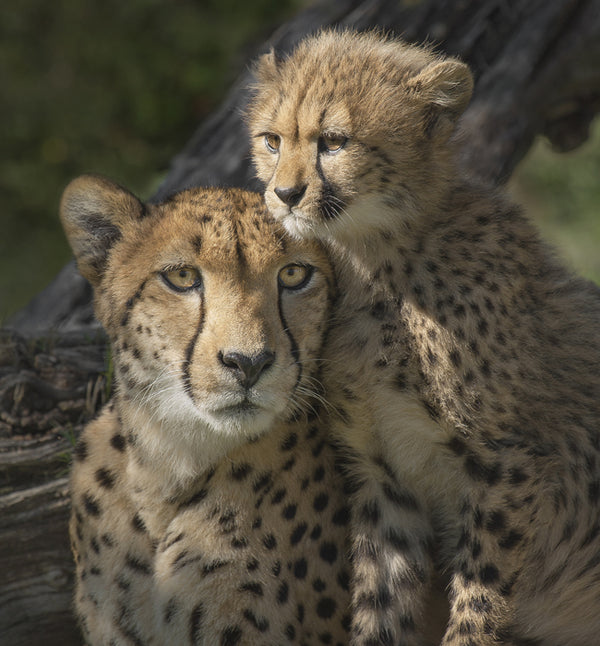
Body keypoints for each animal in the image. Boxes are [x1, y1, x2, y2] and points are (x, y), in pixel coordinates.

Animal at [248, 28, 600, 646]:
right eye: (272, 140)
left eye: (334, 142)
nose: (284, 194)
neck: (374, 260)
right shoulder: (385, 476)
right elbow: (381, 607)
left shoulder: (509, 463)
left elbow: (479, 601)